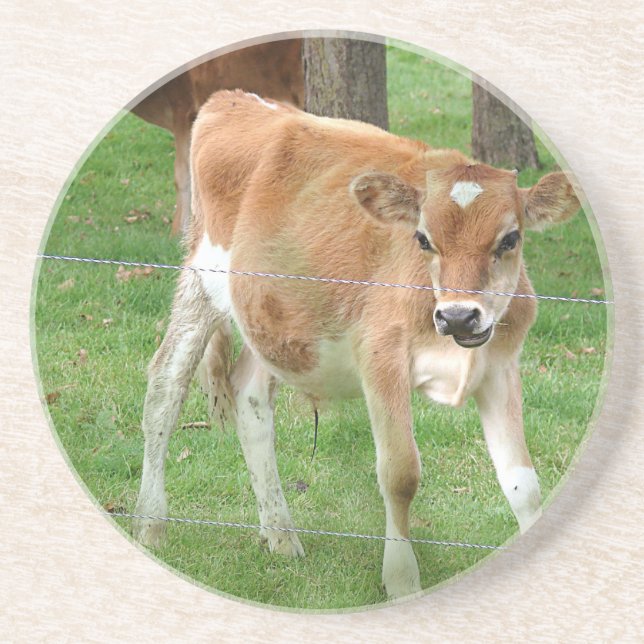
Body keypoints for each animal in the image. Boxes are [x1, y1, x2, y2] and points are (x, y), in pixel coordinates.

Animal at [133, 89, 580, 599]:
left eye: (511, 238)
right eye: (423, 238)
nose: (458, 315)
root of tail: (234, 99)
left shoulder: (501, 368)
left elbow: (523, 482)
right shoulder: (381, 359)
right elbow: (400, 473)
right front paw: (402, 579)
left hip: (272, 316)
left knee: (250, 397)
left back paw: (280, 534)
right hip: (203, 278)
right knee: (166, 386)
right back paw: (151, 523)